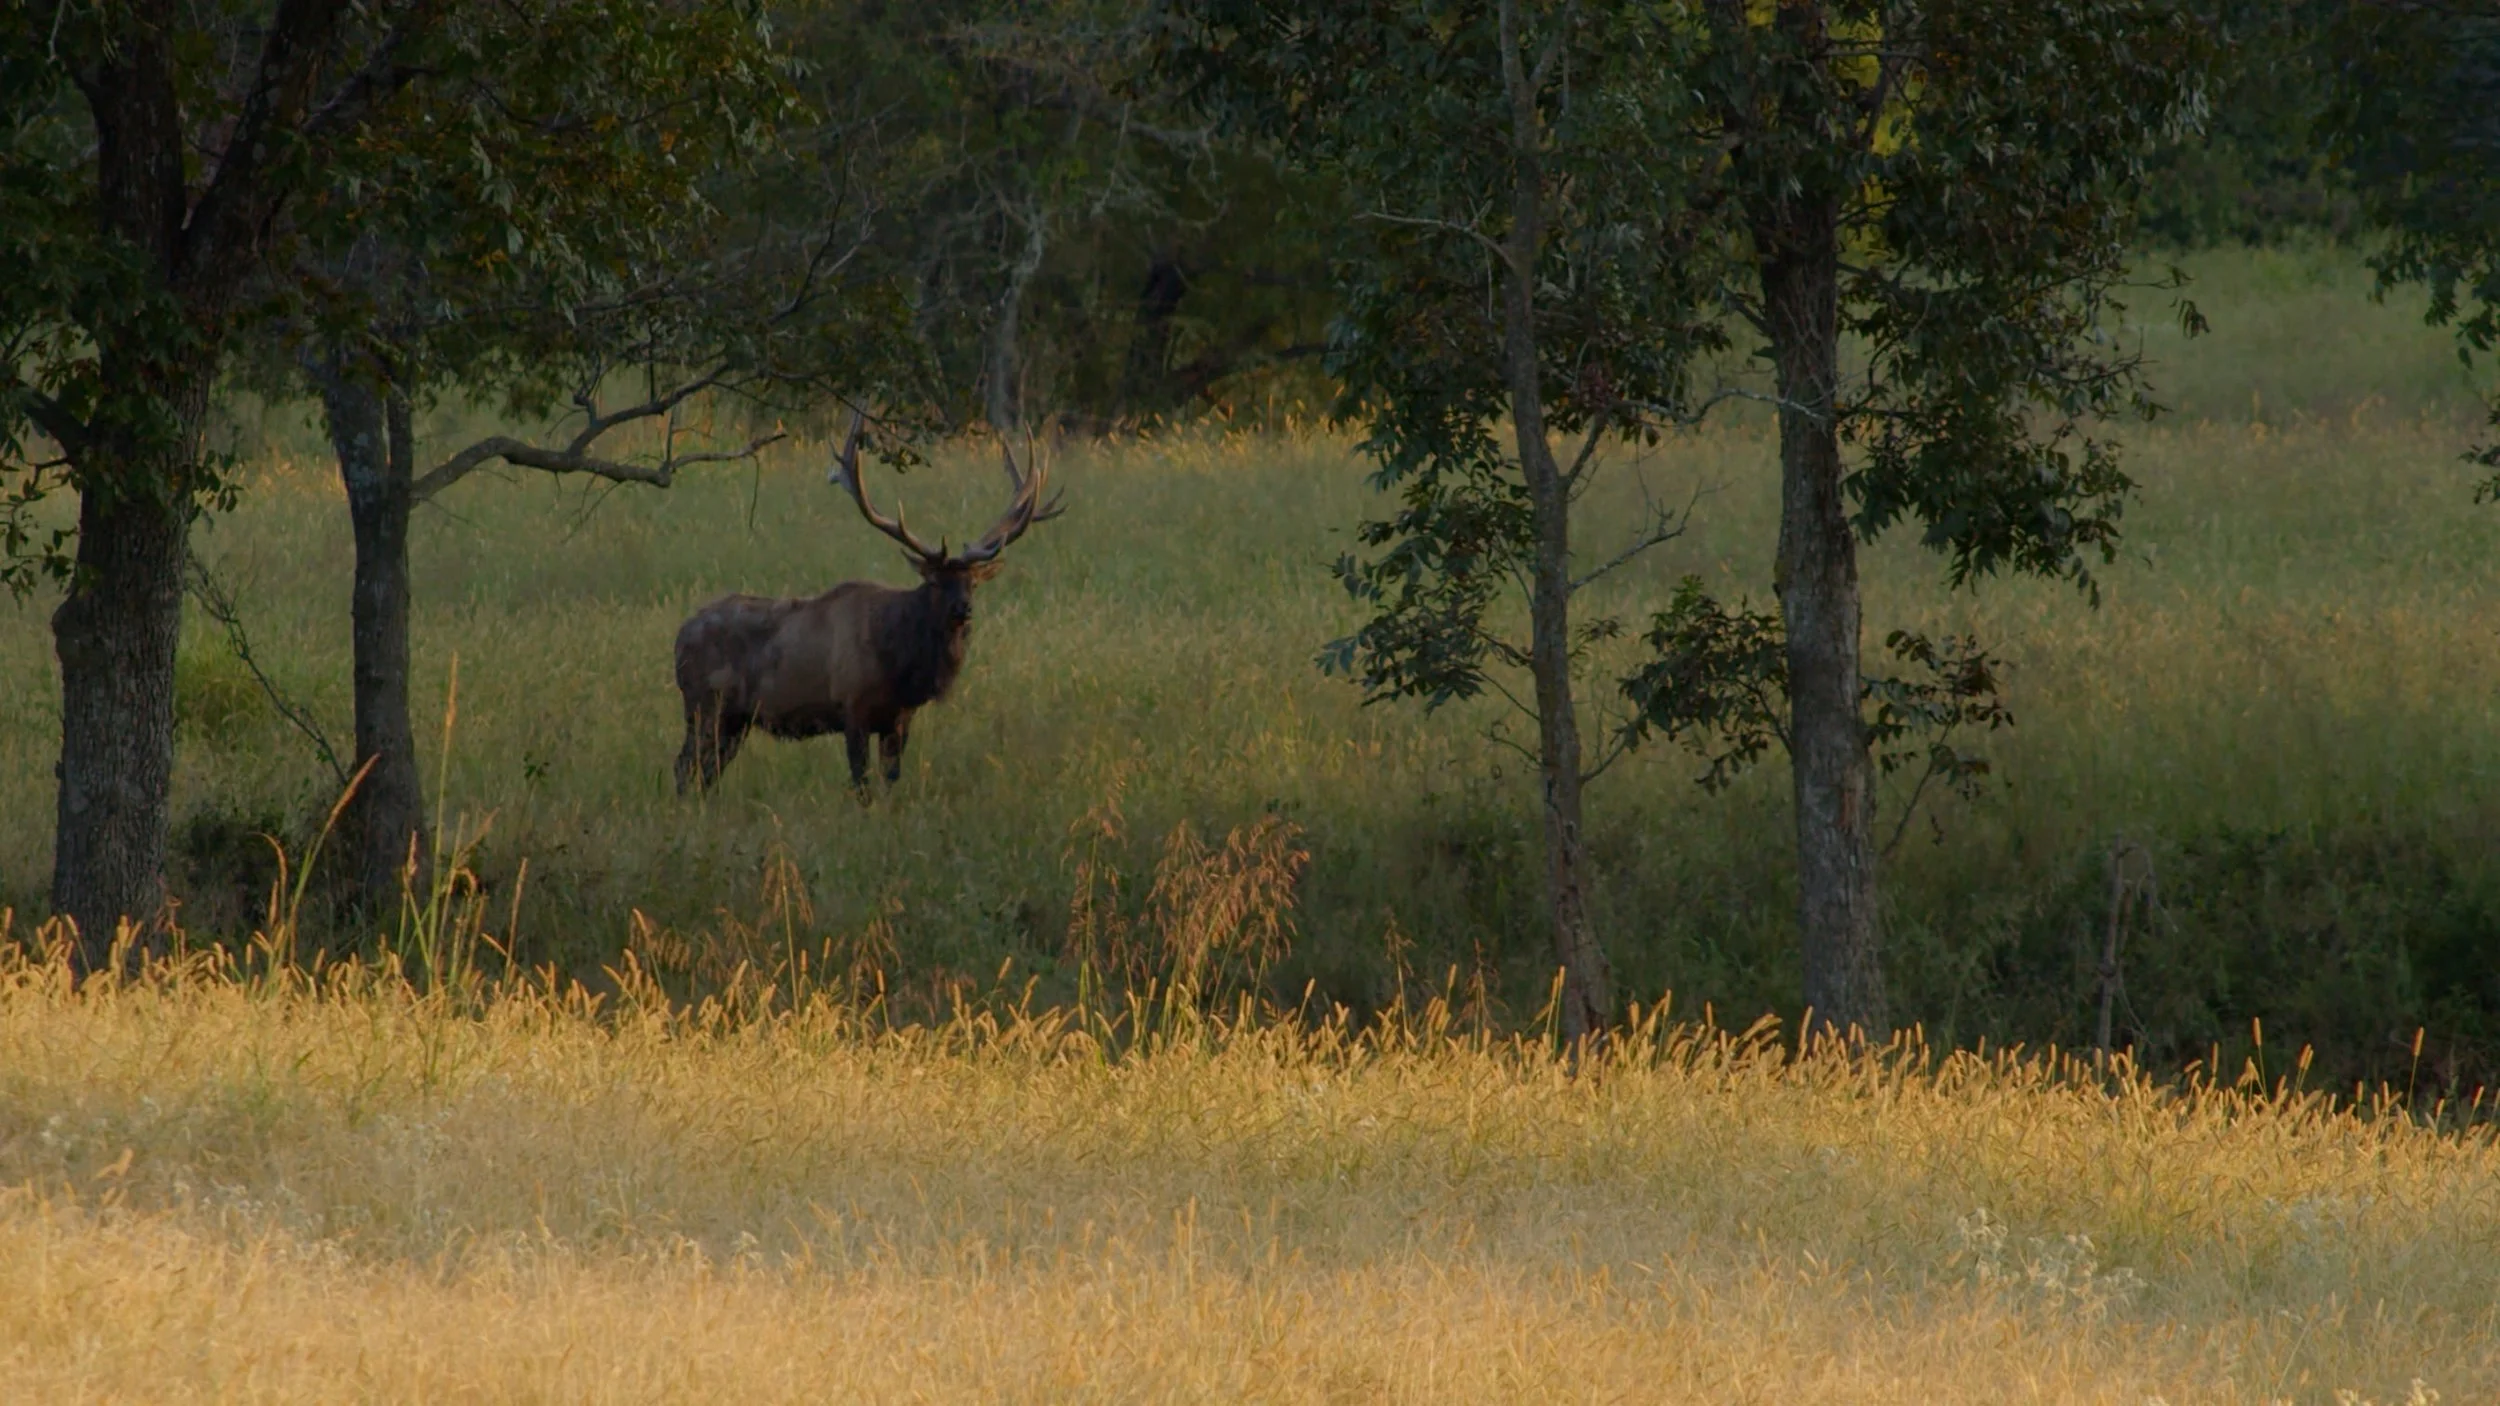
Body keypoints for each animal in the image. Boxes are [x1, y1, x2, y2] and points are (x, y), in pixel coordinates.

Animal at [672, 412, 1062, 796]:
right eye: (935, 581)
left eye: (974, 583)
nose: (963, 609)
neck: (900, 663)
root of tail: (678, 638)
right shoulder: (852, 707)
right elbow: (862, 785)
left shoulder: (900, 719)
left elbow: (890, 782)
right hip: (704, 705)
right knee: (684, 766)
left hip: (735, 720)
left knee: (707, 772)